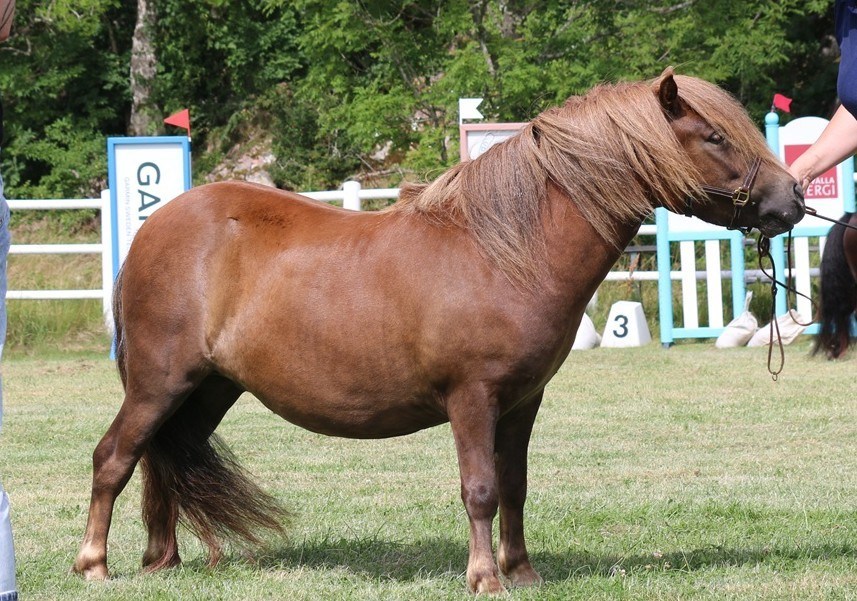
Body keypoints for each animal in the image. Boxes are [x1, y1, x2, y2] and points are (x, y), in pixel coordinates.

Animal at [73, 68, 805, 594]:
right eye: (714, 137)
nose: (791, 199)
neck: (503, 251)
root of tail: (155, 227)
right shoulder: (471, 398)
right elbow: (478, 488)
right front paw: (484, 577)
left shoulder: (521, 401)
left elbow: (513, 485)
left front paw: (522, 571)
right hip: (160, 383)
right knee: (114, 457)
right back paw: (94, 563)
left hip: (207, 390)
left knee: (161, 462)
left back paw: (161, 561)